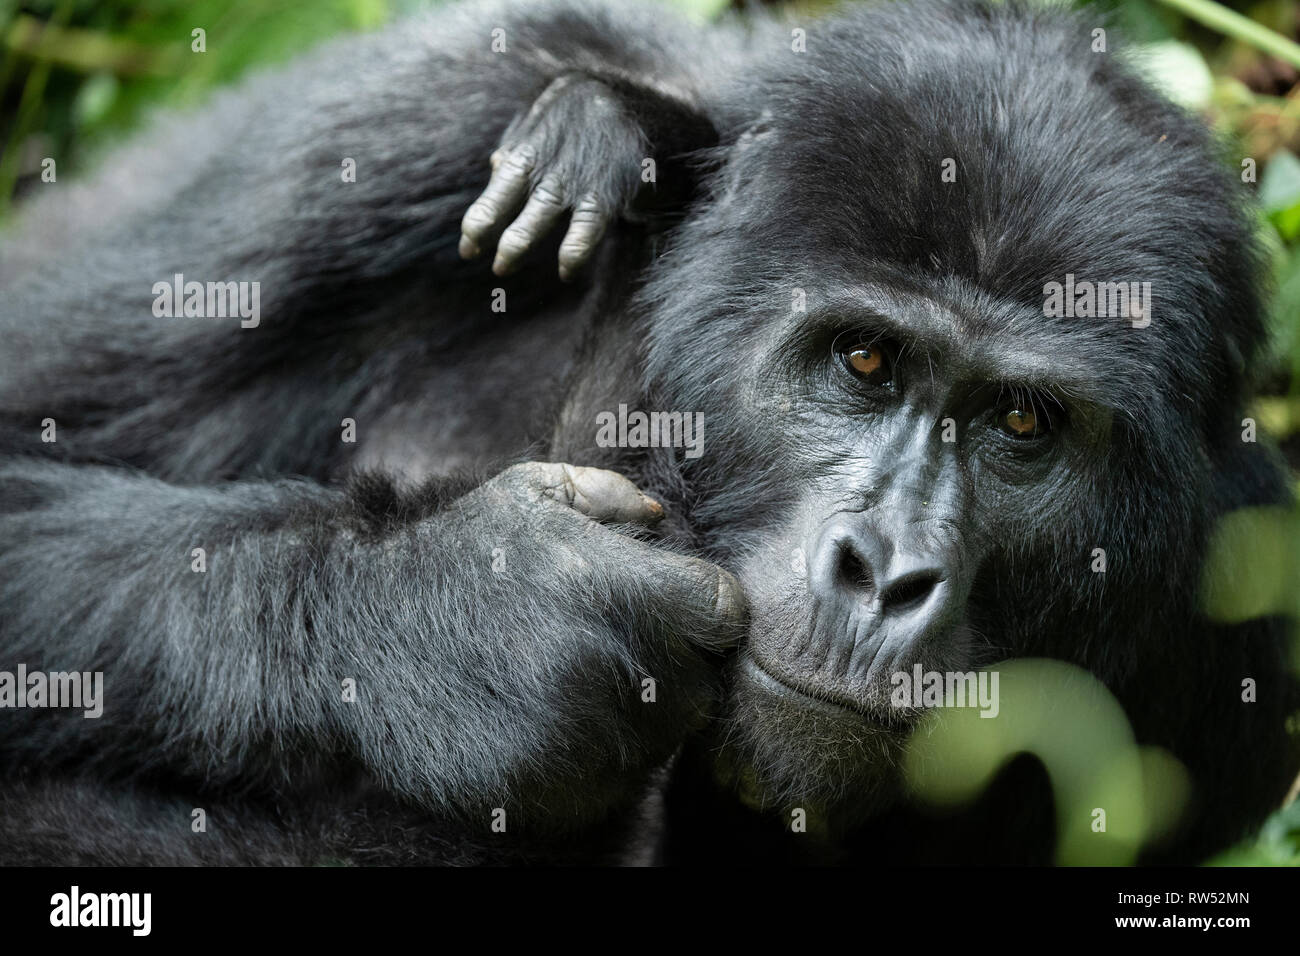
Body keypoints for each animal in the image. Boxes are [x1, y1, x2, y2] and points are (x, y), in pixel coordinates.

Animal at [0, 0, 1294, 868]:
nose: (883, 574)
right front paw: (469, 619)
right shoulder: (413, 125)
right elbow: (24, 475)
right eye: (863, 359)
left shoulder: (1237, 627)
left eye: (1021, 419)